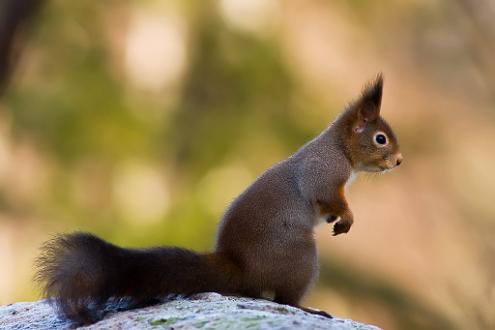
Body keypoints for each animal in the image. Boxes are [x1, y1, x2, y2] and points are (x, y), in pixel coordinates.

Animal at [35, 74, 404, 324]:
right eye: (380, 138)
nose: (399, 161)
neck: (339, 149)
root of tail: (239, 269)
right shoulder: (324, 171)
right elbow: (325, 194)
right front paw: (347, 216)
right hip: (300, 257)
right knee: (284, 298)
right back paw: (307, 307)